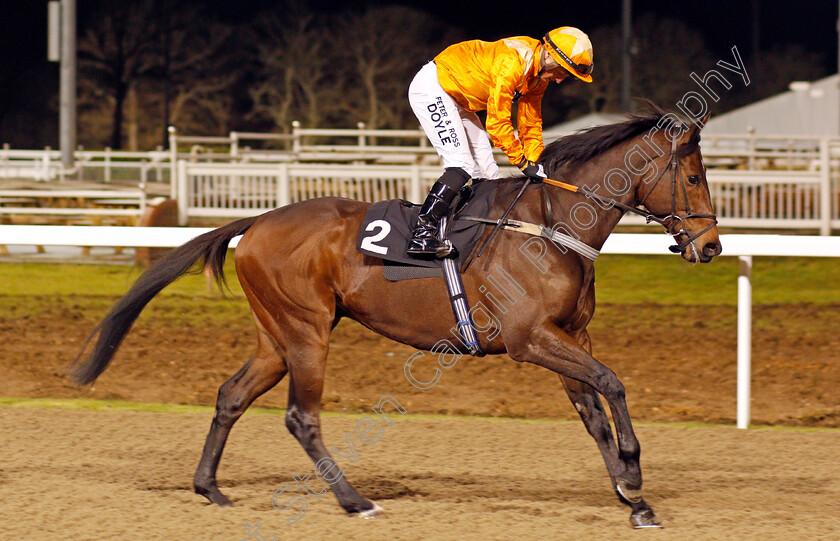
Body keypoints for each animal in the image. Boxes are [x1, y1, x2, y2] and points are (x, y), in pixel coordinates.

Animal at [70, 105, 720, 528]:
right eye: (692, 176)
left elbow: (593, 412)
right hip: (306, 333)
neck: (549, 226)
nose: (711, 247)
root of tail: (256, 222)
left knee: (231, 395)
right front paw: (633, 472)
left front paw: (633, 499)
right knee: (301, 417)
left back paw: (209, 487)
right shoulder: (529, 338)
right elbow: (613, 383)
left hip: (276, 337)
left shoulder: (568, 334)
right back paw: (355, 501)